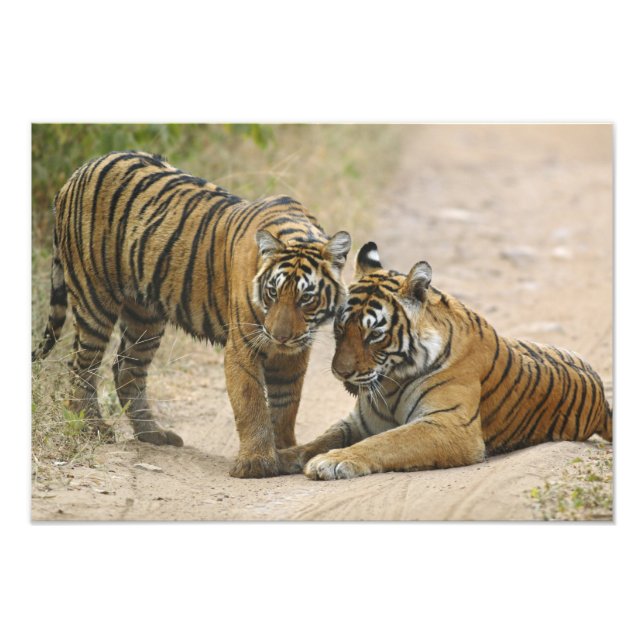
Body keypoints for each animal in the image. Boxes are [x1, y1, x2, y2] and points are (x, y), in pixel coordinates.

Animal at [32, 151, 352, 478]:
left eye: (306, 298)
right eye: (272, 293)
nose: (280, 337)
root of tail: (78, 172)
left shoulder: (294, 354)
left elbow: (286, 403)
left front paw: (285, 449)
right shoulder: (244, 345)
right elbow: (251, 403)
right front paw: (257, 463)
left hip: (145, 316)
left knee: (127, 368)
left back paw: (152, 434)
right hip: (94, 297)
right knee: (82, 365)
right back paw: (92, 427)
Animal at [278, 241, 612, 480]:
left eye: (374, 335)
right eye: (339, 328)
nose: (340, 372)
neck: (391, 382)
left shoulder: (450, 425)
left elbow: (387, 441)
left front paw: (334, 461)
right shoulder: (359, 421)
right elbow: (321, 439)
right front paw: (282, 457)